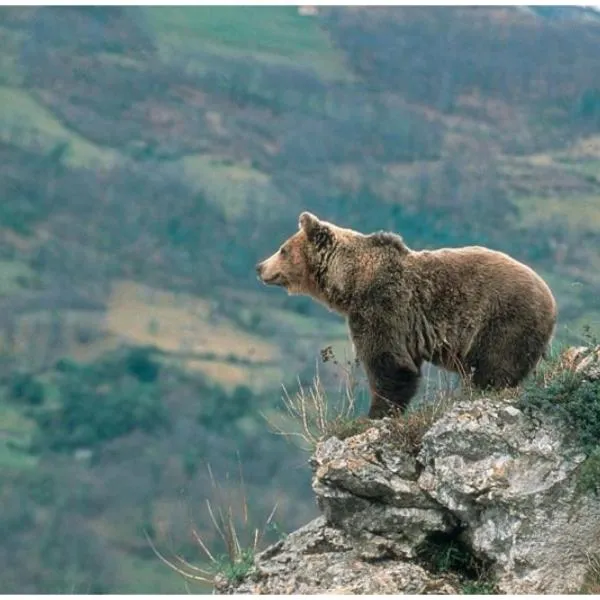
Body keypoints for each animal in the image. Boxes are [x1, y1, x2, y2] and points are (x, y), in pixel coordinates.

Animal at [256, 211, 556, 418]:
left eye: (282, 249)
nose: (259, 266)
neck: (351, 281)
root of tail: (551, 299)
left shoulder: (383, 306)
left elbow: (389, 363)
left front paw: (375, 414)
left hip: (504, 320)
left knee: (495, 368)